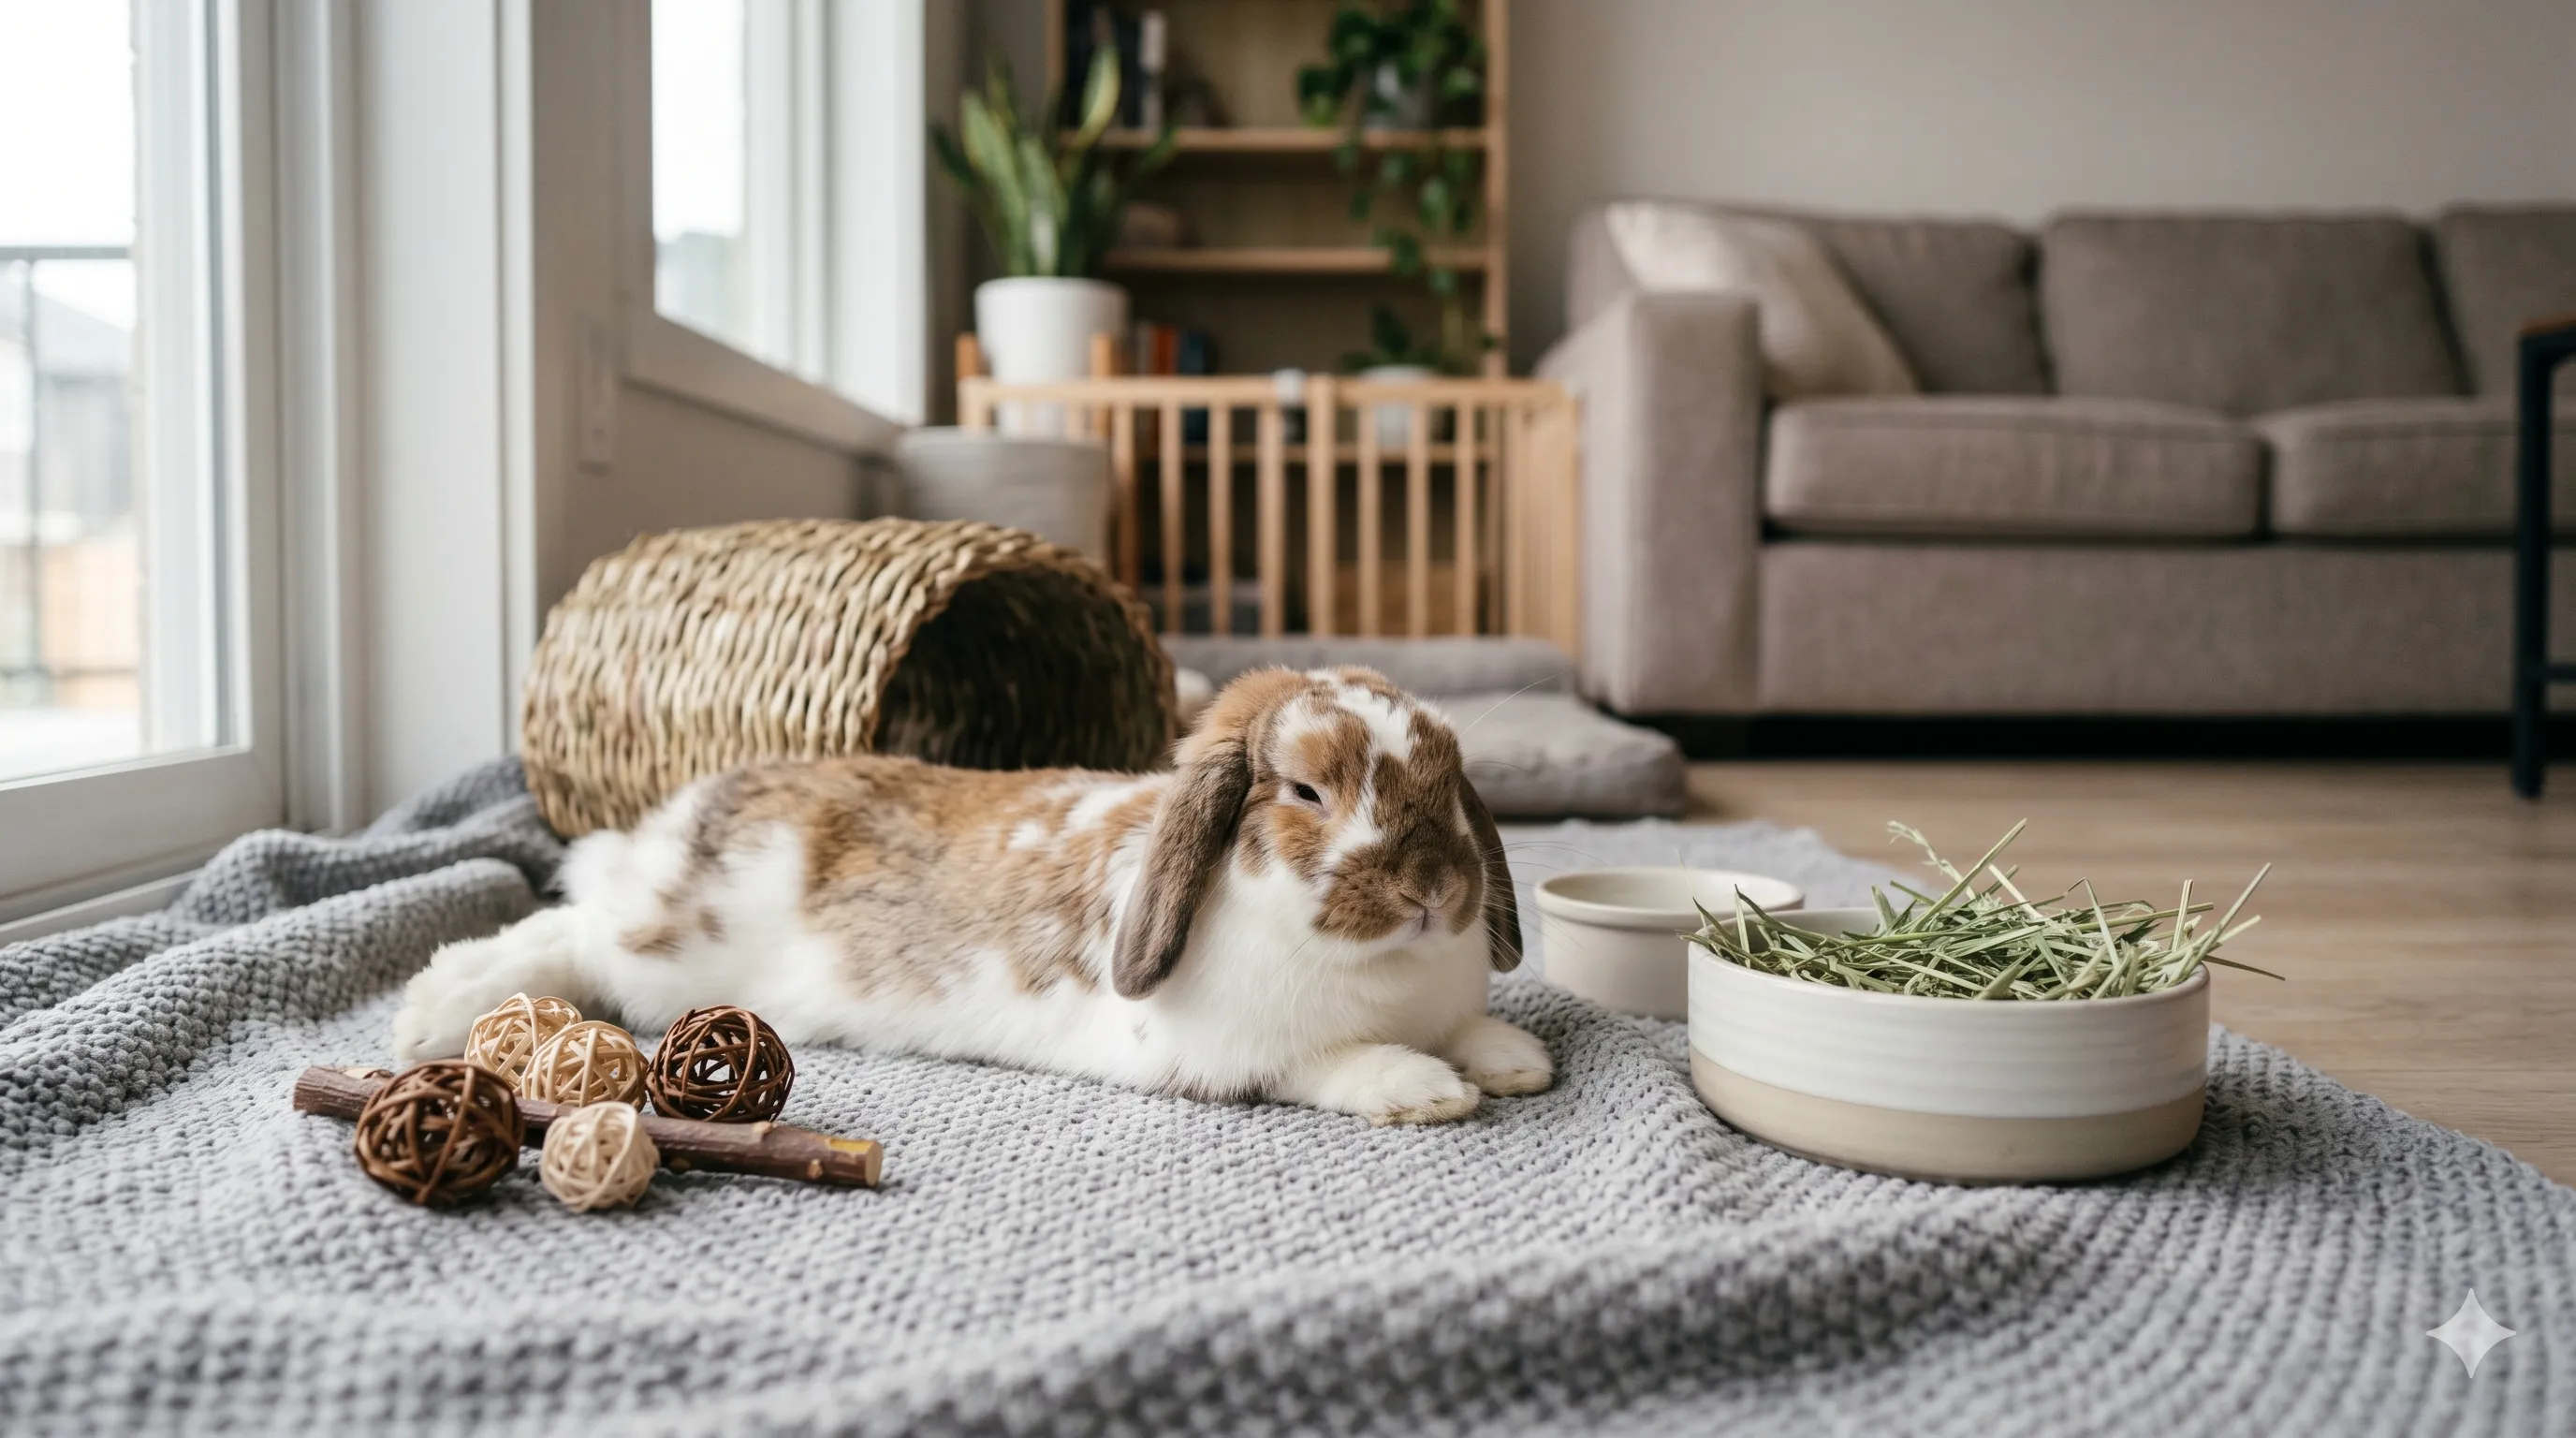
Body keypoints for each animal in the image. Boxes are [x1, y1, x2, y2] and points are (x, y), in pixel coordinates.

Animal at [391, 666, 1553, 1125]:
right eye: (1307, 790)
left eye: (1448, 782)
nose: (1433, 890)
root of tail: (677, 820)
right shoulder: (1237, 1054)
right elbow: (1332, 1064)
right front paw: (1427, 1089)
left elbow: (1472, 1032)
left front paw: (1511, 1060)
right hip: (666, 949)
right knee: (569, 931)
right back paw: (435, 1012)